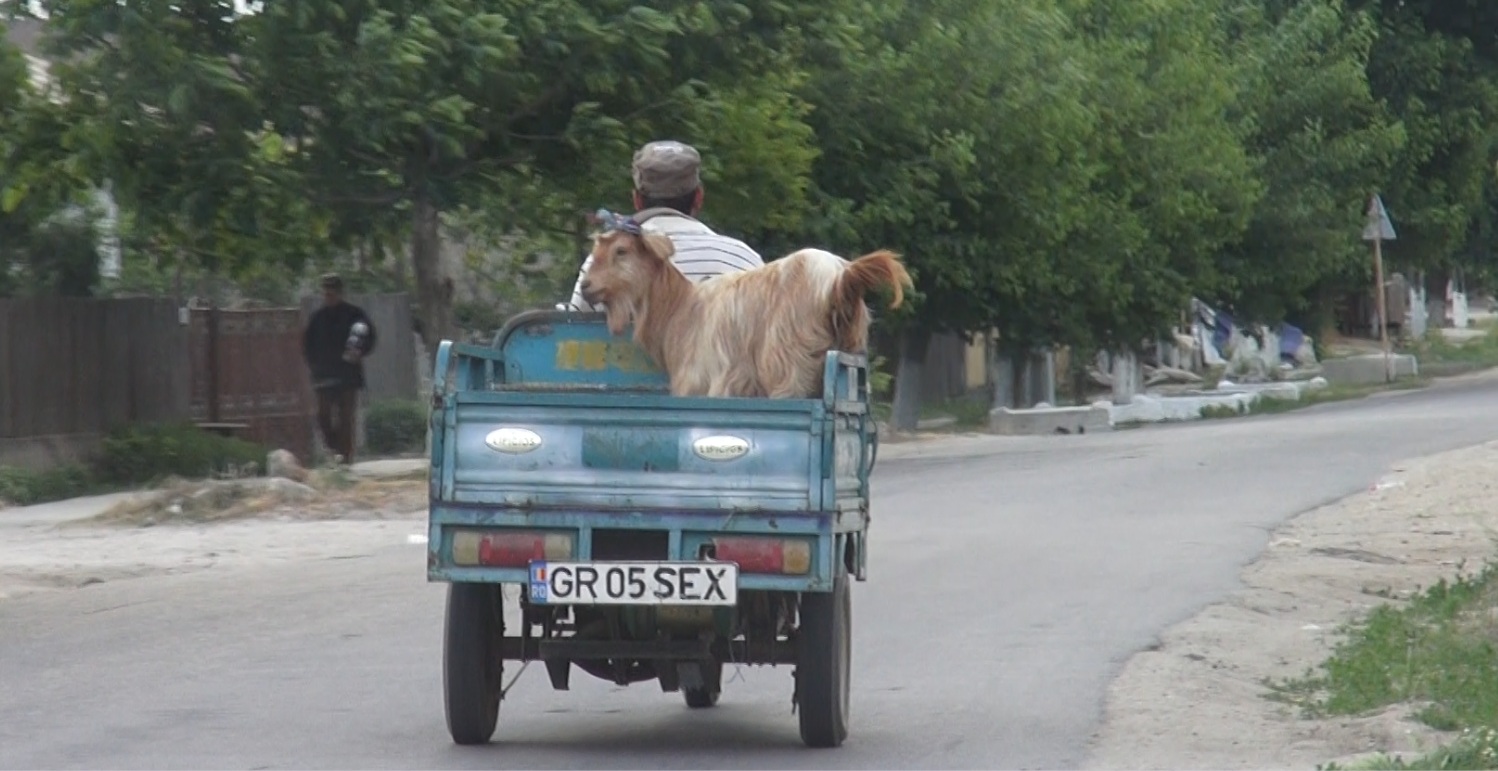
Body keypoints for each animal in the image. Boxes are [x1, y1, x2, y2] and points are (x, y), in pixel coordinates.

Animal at [578, 223, 912, 399]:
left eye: (621, 250)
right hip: (851, 351)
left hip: (789, 367)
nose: (586, 285)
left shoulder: (707, 382)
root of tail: (840, 278)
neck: (681, 310)